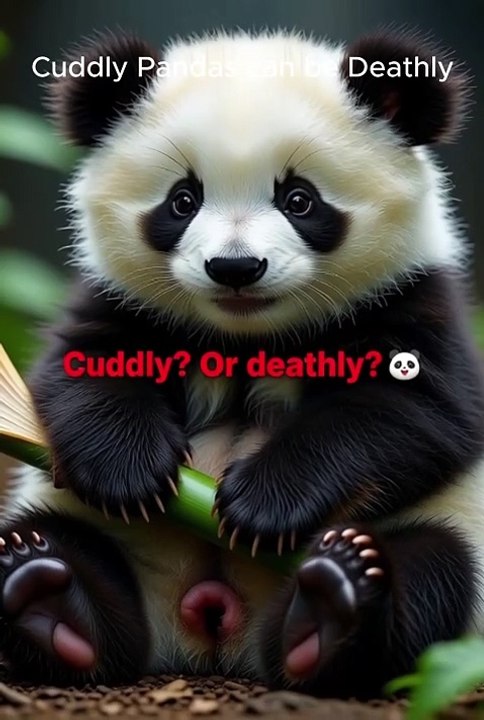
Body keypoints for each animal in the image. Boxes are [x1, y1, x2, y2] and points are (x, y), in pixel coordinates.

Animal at [1, 27, 484, 700]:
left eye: (300, 200)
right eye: (183, 200)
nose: (234, 267)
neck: (247, 334)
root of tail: (215, 624)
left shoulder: (409, 300)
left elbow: (411, 414)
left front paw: (263, 505)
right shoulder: (119, 300)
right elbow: (79, 375)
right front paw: (128, 472)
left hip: (452, 535)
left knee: (433, 572)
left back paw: (335, 603)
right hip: (90, 529)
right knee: (72, 555)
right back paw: (42, 586)